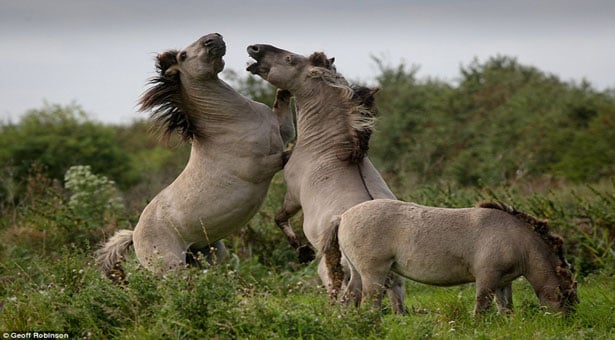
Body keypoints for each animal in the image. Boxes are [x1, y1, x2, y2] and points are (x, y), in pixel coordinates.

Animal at [97, 33, 294, 278]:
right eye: (183, 55)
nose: (213, 38)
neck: (233, 121)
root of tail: (134, 235)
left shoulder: (282, 134)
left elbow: (284, 107)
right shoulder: (262, 166)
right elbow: (288, 154)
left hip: (209, 253)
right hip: (173, 268)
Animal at [248, 44, 406, 314]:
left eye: (289, 59)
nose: (255, 49)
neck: (329, 148)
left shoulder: (293, 195)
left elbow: (280, 218)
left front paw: (302, 251)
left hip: (347, 268)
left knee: (345, 290)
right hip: (392, 274)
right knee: (396, 300)